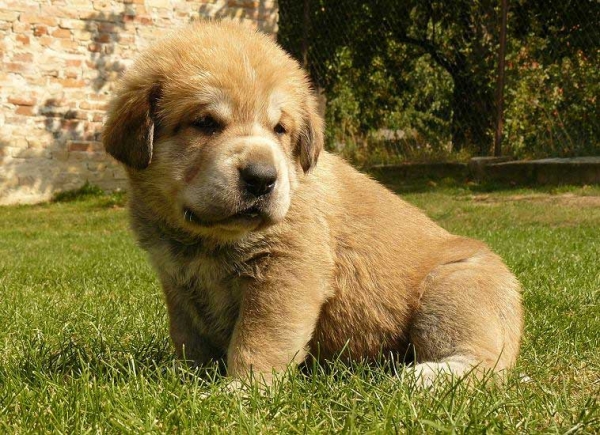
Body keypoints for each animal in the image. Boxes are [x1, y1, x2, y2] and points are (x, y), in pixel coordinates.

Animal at [104, 22, 524, 386]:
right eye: (205, 122)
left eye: (280, 129)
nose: (262, 177)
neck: (206, 239)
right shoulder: (177, 280)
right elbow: (188, 337)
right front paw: (186, 380)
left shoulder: (285, 273)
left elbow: (259, 340)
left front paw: (242, 390)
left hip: (454, 290)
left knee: (484, 363)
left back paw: (421, 378)